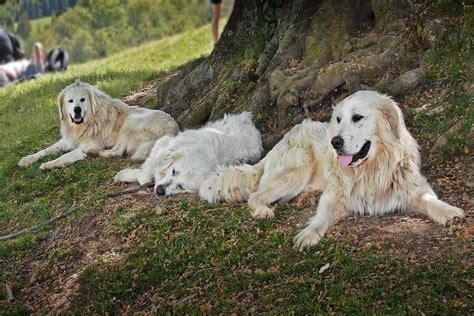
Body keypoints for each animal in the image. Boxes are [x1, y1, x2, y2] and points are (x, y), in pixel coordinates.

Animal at [17, 81, 179, 170]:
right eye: (70, 101)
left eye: (82, 100)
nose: (77, 110)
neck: (89, 121)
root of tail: (173, 130)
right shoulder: (70, 140)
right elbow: (46, 149)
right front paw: (28, 159)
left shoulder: (85, 146)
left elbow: (64, 156)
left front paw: (48, 164)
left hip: (130, 124)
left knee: (117, 152)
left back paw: (96, 153)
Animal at [114, 110, 262, 195]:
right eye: (174, 171)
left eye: (180, 187)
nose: (160, 190)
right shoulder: (164, 145)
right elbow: (148, 169)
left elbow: (144, 176)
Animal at [201, 91, 466, 252]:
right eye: (338, 119)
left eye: (357, 117)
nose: (335, 142)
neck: (371, 168)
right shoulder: (335, 196)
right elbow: (321, 217)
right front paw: (308, 234)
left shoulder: (411, 187)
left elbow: (430, 199)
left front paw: (448, 211)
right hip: (296, 172)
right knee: (256, 196)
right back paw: (263, 211)